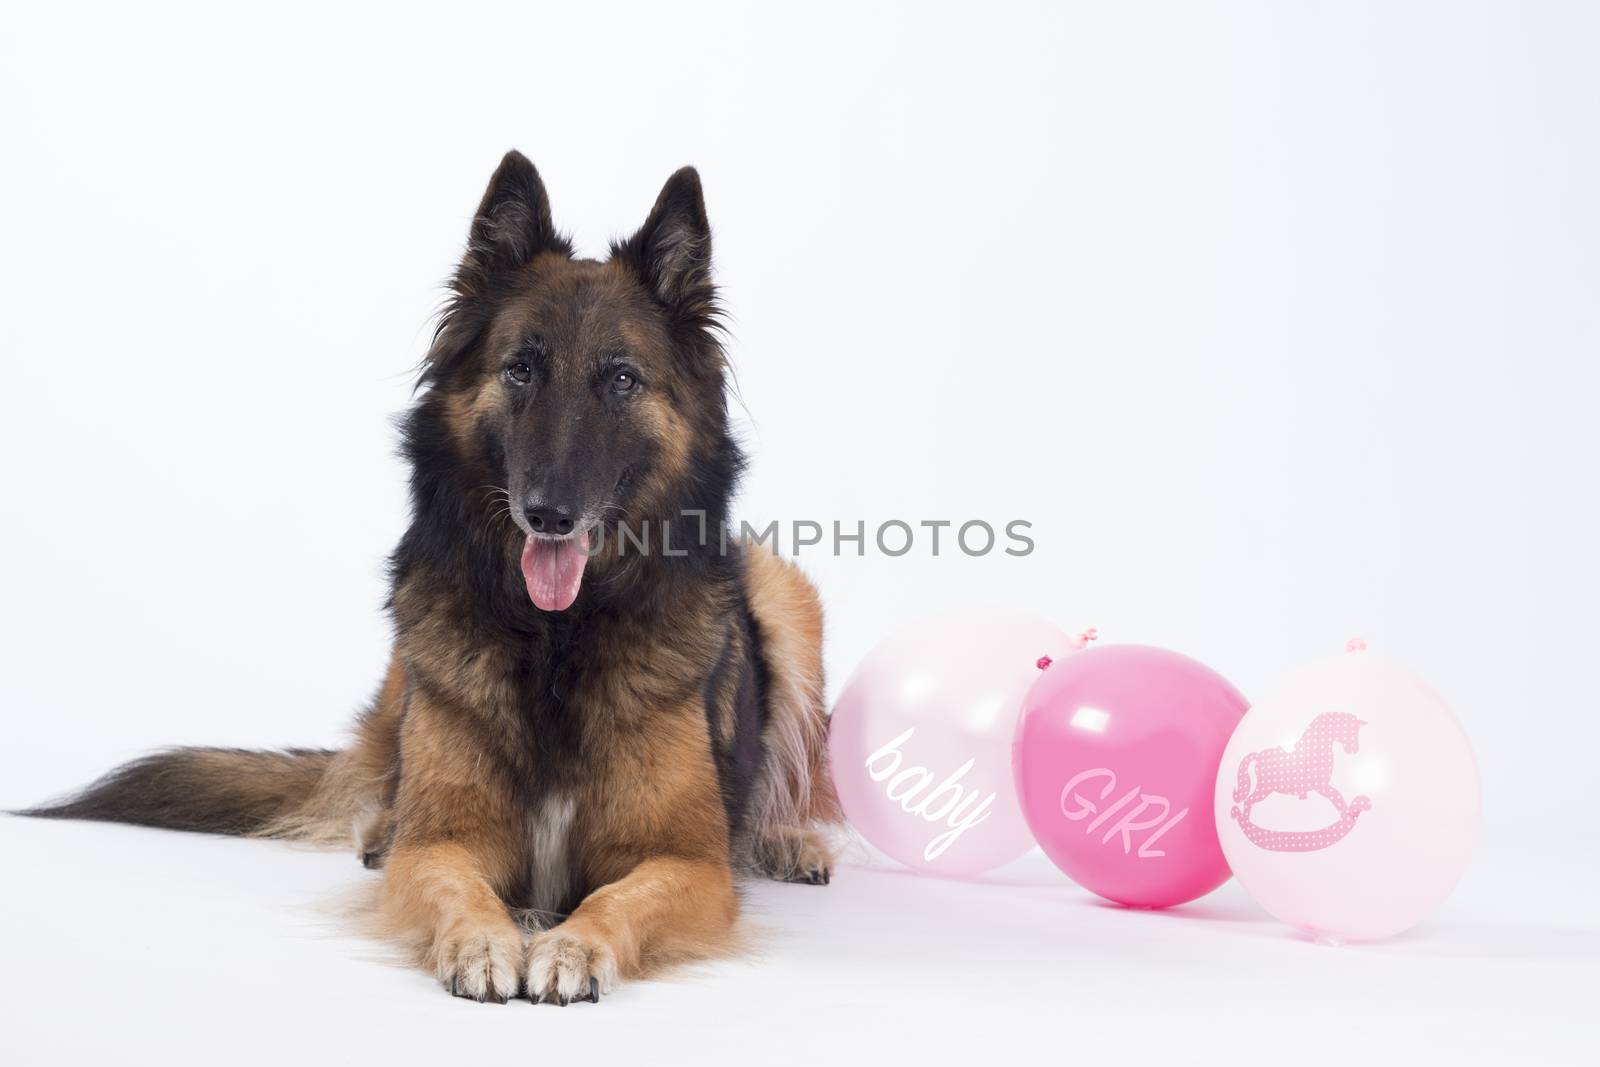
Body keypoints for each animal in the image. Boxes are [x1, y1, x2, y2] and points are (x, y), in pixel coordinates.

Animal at [21, 151, 838, 1011]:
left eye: (620, 379)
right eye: (520, 369)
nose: (547, 513)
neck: (555, 638)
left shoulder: (687, 863)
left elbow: (620, 897)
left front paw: (572, 943)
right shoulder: (444, 840)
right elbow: (453, 883)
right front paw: (483, 940)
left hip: (784, 592)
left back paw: (785, 837)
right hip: (406, 674)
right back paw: (379, 826)